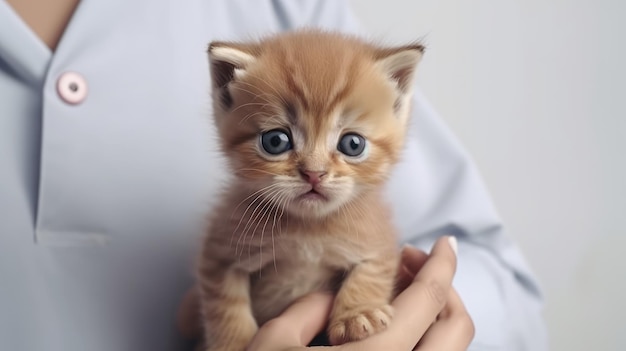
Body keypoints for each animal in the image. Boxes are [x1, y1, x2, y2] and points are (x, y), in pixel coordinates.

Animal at [197, 30, 422, 351]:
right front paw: (234, 341)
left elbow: (373, 270)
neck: (309, 229)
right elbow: (224, 303)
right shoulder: (220, 250)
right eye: (275, 141)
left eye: (353, 144)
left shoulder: (377, 235)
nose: (314, 173)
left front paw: (358, 314)